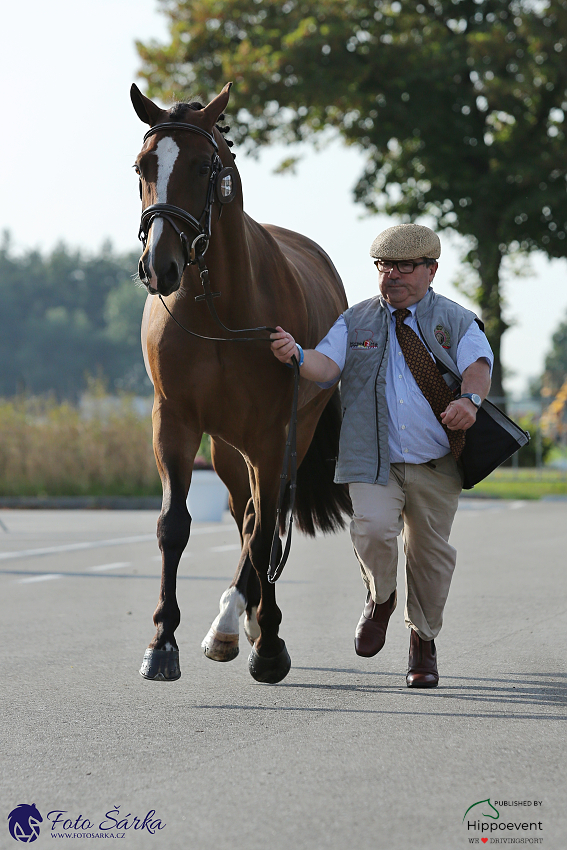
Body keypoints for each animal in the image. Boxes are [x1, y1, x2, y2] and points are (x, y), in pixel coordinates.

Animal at [132, 81, 350, 684]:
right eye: (142, 165)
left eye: (203, 165)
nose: (160, 266)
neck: (216, 307)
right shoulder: (175, 421)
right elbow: (174, 525)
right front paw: (162, 642)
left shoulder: (273, 433)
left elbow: (267, 527)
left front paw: (270, 645)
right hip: (228, 446)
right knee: (243, 511)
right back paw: (235, 620)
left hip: (286, 434)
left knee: (260, 520)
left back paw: (241, 621)